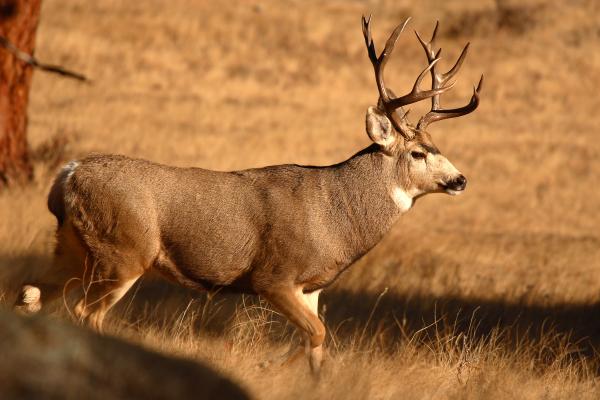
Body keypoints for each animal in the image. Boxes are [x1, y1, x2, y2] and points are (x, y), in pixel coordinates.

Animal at [14, 17, 482, 376]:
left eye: (438, 146)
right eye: (418, 152)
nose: (460, 180)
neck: (337, 214)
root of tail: (67, 176)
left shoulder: (312, 286)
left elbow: (319, 347)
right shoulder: (272, 275)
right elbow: (316, 333)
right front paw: (265, 366)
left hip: (74, 249)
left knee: (29, 293)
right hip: (124, 251)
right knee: (85, 313)